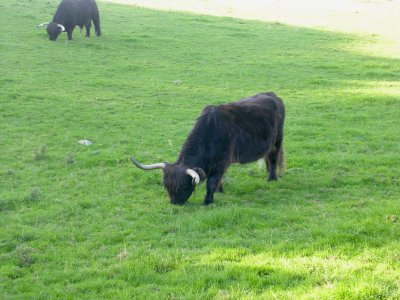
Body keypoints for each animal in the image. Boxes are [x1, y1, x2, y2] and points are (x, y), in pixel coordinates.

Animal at [130, 91, 284, 205]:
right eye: (167, 185)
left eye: (182, 186)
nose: (175, 203)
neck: (211, 131)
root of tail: (272, 94)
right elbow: (217, 180)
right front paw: (219, 191)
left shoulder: (221, 162)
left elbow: (212, 181)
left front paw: (208, 201)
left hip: (277, 141)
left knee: (274, 159)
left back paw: (272, 178)